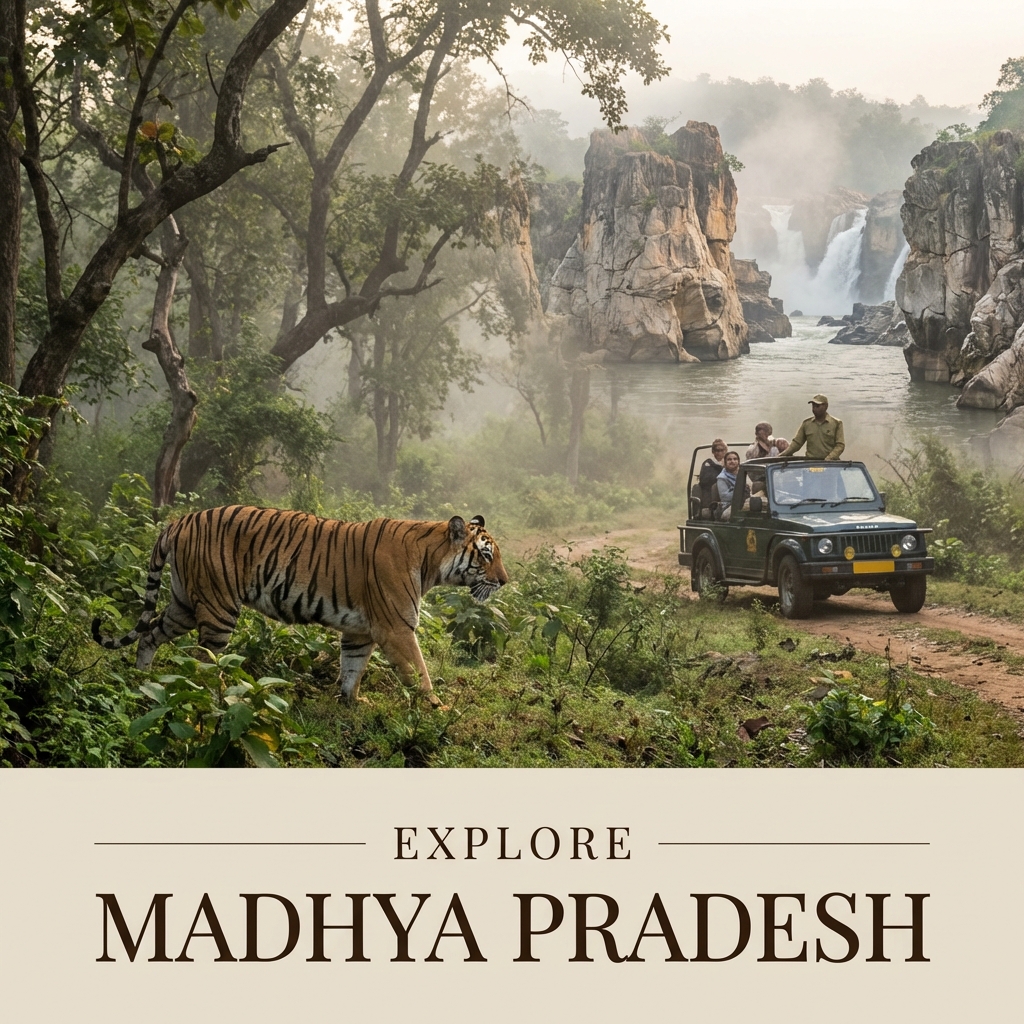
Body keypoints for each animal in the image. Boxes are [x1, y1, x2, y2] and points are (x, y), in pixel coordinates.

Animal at [92, 506, 508, 706]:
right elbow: (420, 674)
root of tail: (177, 522)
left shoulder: (359, 631)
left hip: (184, 604)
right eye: (486, 555)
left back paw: (142, 681)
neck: (430, 561)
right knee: (203, 661)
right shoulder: (396, 628)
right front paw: (438, 709)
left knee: (150, 634)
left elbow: (352, 669)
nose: (504, 581)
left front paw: (351, 703)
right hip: (218, 608)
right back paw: (217, 694)